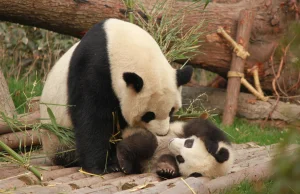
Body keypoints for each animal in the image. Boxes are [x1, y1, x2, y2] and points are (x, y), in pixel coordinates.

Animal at [39, 18, 193, 174]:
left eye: (171, 111)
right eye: (148, 115)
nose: (162, 133)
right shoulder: (92, 68)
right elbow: (92, 118)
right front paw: (100, 167)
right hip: (58, 138)